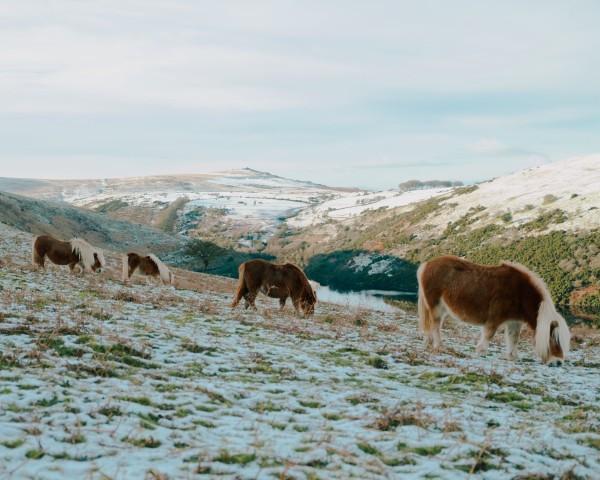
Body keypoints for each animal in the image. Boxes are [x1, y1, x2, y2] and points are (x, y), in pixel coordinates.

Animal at [418, 256, 572, 366]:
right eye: (553, 340)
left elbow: (513, 339)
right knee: (435, 325)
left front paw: (512, 357)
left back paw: (428, 343)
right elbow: (489, 336)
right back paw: (439, 346)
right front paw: (480, 353)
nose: (558, 363)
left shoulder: (514, 322)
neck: (520, 292)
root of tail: (426, 265)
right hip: (436, 307)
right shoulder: (494, 319)